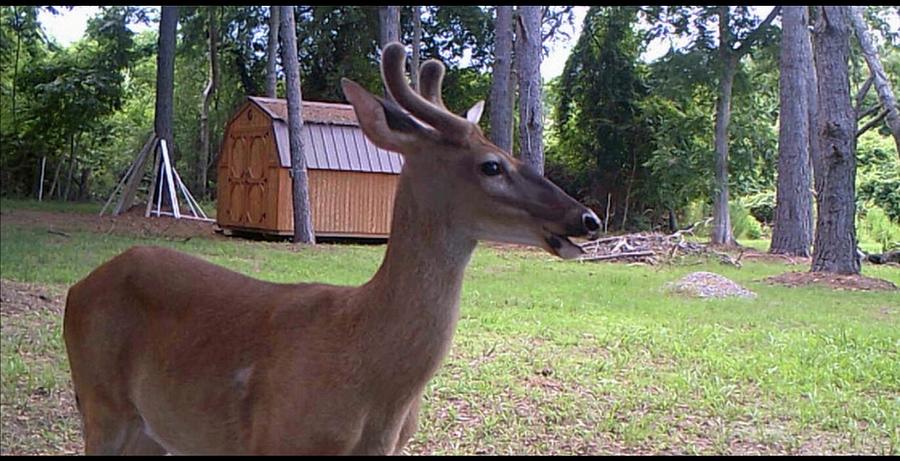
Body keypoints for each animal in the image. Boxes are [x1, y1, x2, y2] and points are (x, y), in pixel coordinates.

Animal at [63, 42, 601, 455]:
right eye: (492, 165)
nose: (588, 218)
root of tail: (79, 287)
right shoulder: (276, 438)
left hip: (151, 429)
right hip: (100, 402)